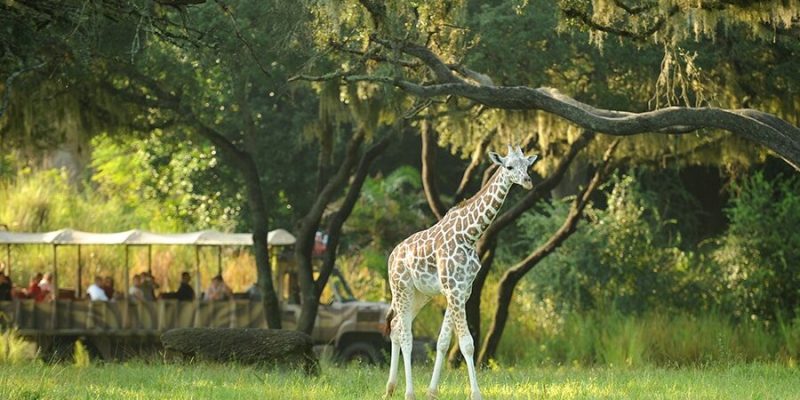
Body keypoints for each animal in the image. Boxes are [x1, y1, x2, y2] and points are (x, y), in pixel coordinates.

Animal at [384, 145, 539, 400]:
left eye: (527, 165)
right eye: (509, 167)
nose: (527, 181)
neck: (470, 234)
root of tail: (391, 256)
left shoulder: (462, 290)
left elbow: (443, 341)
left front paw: (432, 391)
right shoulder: (454, 289)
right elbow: (467, 343)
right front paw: (476, 394)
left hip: (420, 294)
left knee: (396, 325)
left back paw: (390, 389)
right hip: (401, 288)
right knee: (406, 334)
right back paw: (408, 392)